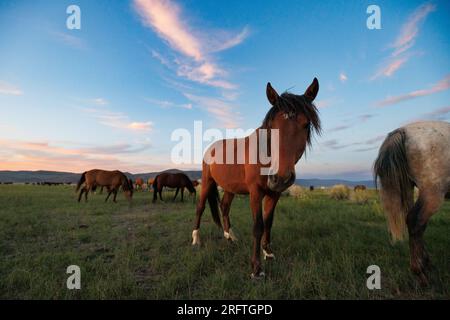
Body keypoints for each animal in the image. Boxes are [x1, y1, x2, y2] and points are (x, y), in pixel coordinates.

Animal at [192, 78, 322, 278]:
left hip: (230, 188)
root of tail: (211, 148)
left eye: (306, 124)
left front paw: (268, 252)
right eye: (272, 128)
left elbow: (268, 223)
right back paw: (196, 240)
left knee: (225, 207)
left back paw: (230, 237)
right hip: (207, 182)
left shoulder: (274, 194)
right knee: (200, 208)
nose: (280, 178)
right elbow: (258, 226)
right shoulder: (255, 192)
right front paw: (256, 268)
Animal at [372, 120, 450, 284]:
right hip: (432, 194)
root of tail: (402, 131)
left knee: (416, 224)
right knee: (416, 222)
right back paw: (420, 272)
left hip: (409, 188)